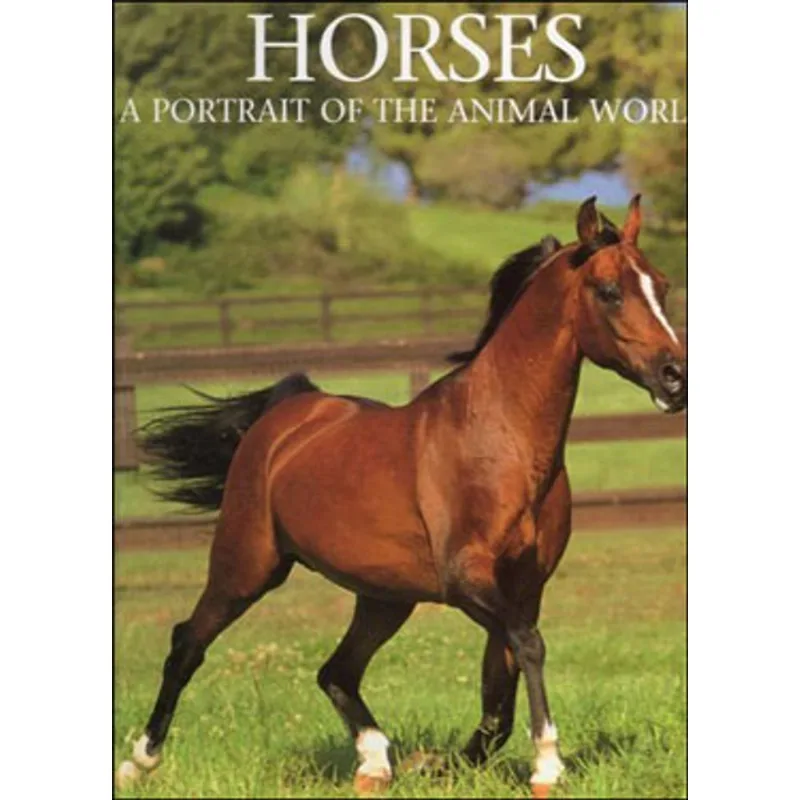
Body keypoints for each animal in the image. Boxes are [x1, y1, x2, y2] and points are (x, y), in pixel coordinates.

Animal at [116, 196, 687, 797]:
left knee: (336, 671)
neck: (502, 440)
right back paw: (138, 762)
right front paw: (546, 767)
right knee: (188, 643)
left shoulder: (524, 586)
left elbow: (499, 691)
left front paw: (443, 763)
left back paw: (375, 763)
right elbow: (529, 648)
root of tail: (287, 414)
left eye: (662, 284)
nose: (675, 377)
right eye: (609, 290)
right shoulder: (467, 579)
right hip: (247, 567)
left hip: (385, 597)